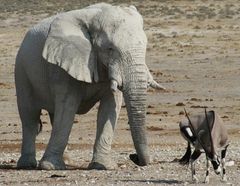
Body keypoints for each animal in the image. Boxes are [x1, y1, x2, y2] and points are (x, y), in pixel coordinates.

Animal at [15, 2, 165, 171]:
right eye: (110, 49)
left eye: (145, 47)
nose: (134, 157)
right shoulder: (63, 64)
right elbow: (68, 106)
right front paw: (50, 167)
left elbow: (110, 107)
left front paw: (103, 166)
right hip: (21, 72)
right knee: (29, 117)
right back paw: (27, 165)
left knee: (53, 116)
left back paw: (66, 160)